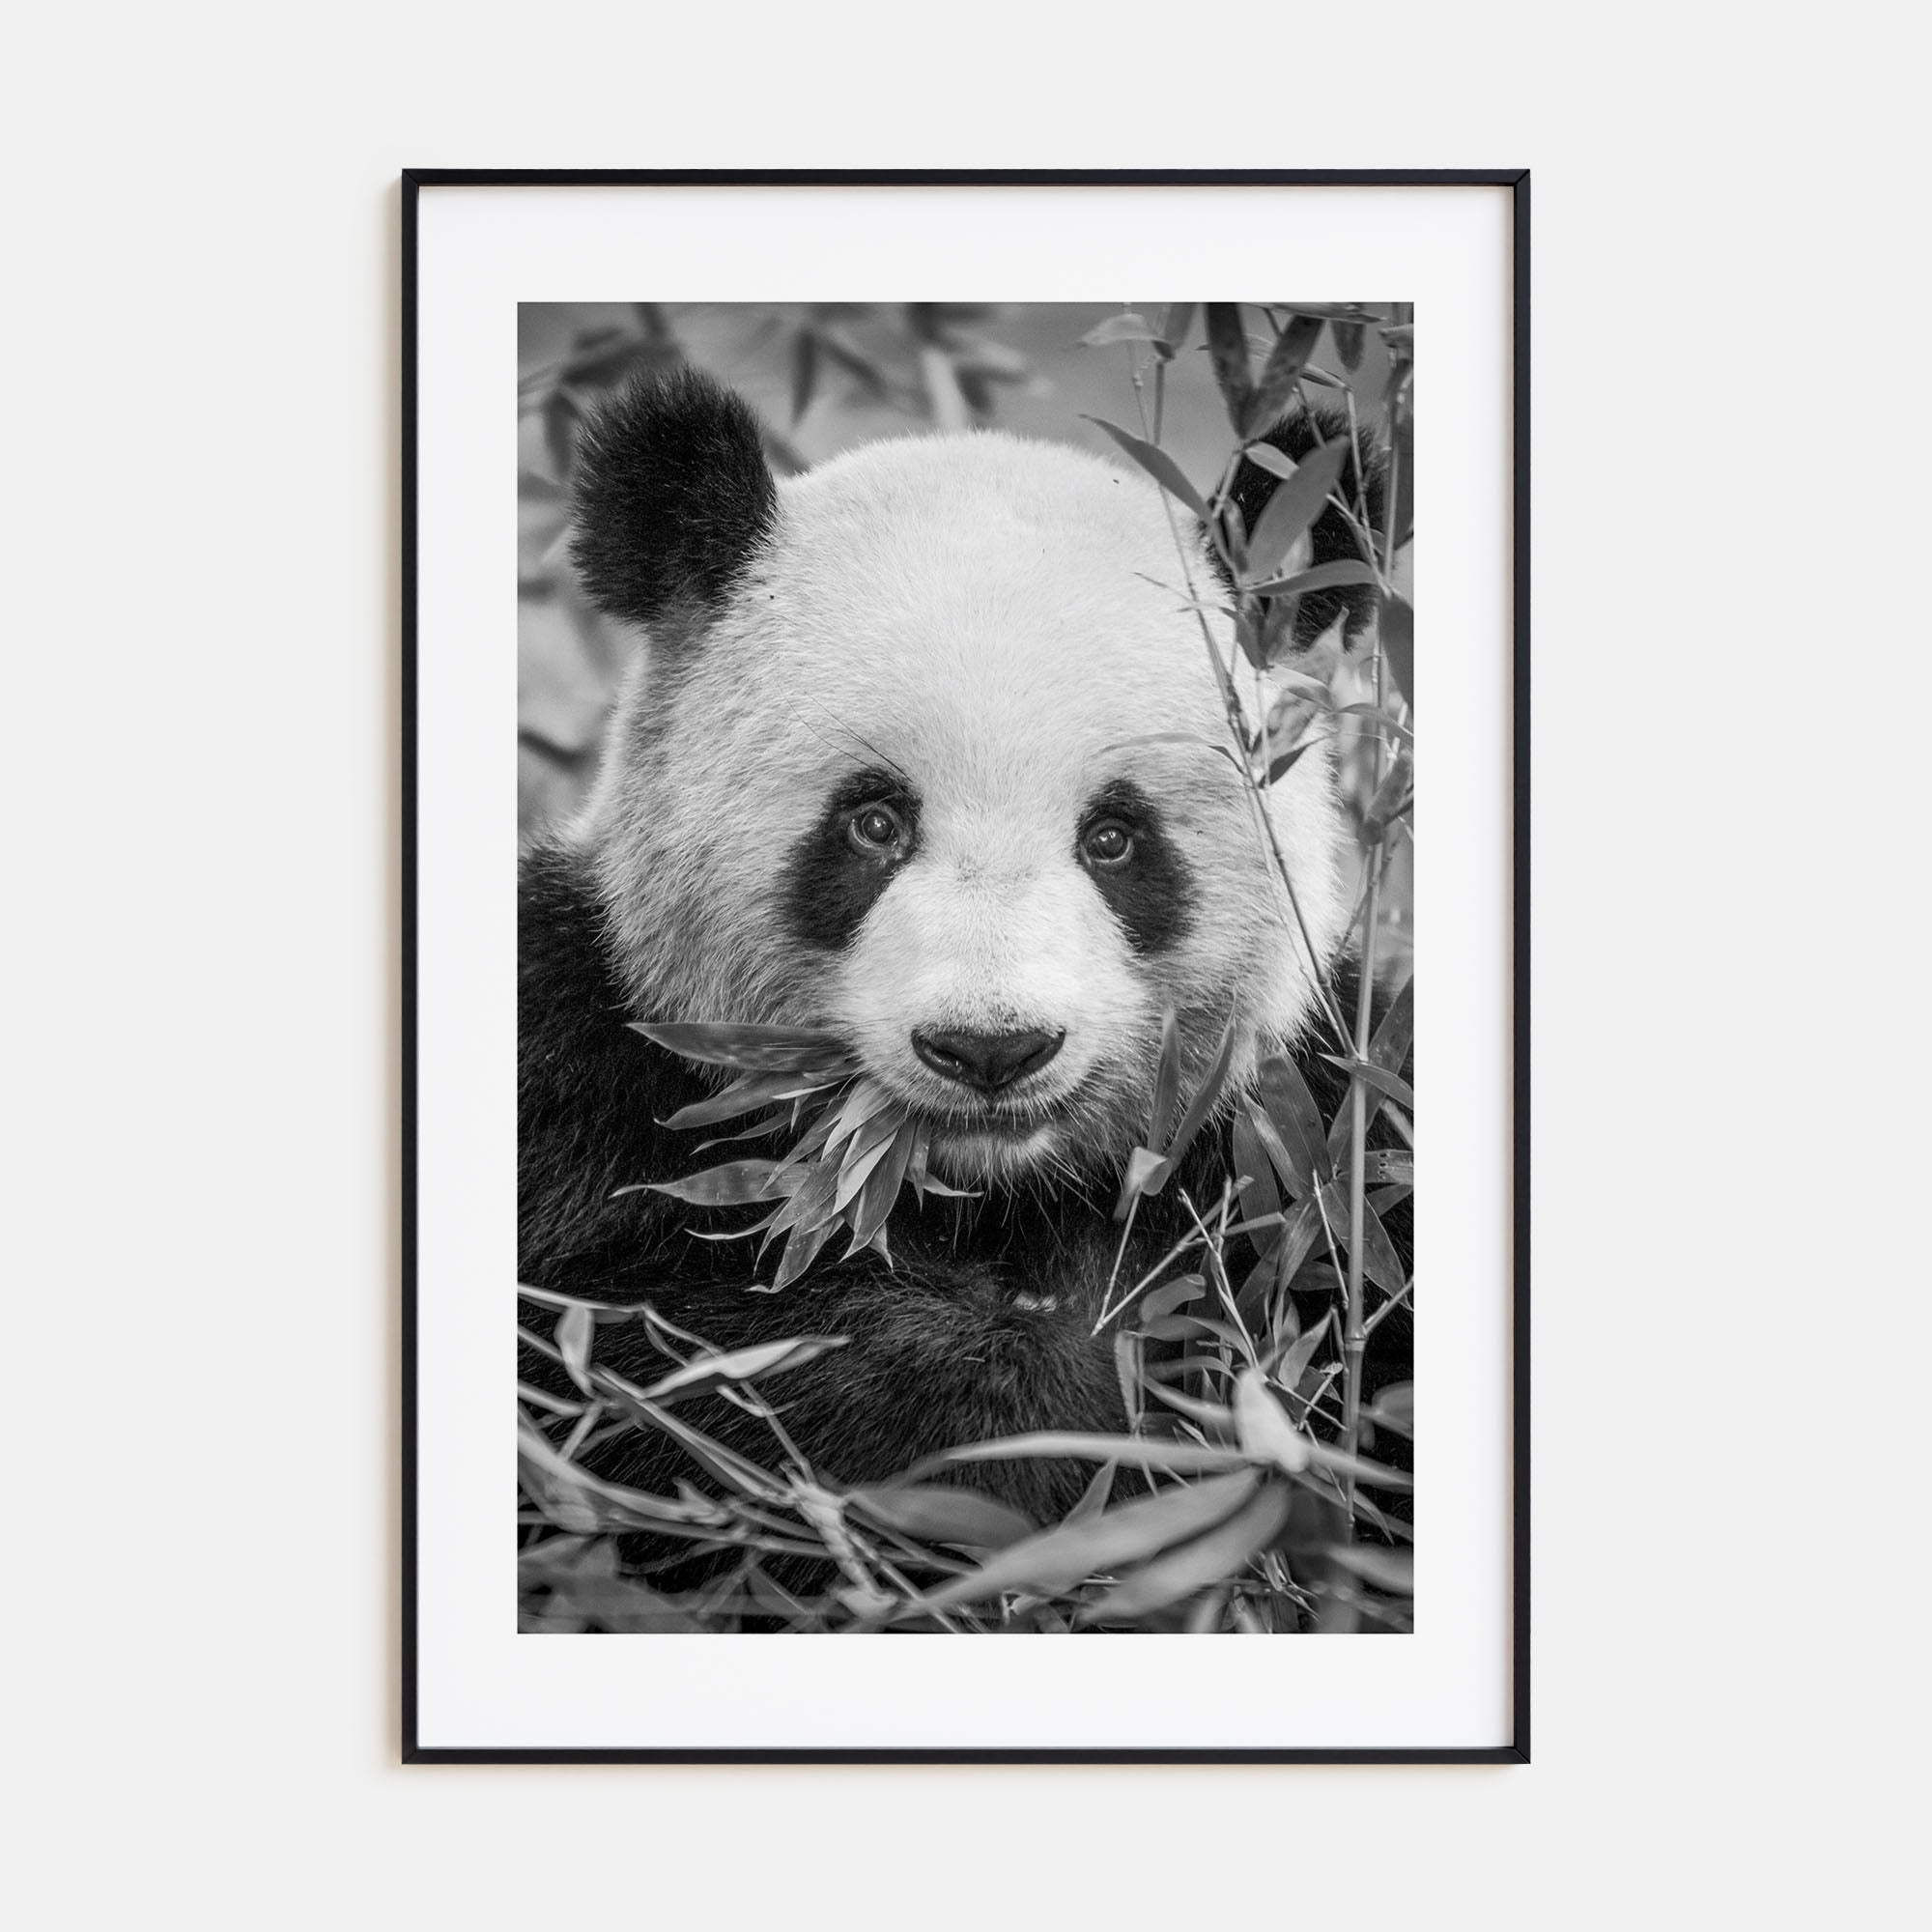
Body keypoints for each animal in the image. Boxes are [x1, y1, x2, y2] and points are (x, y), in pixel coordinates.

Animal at [520, 366, 1406, 1536]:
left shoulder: (1316, 1131)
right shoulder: (578, 1073)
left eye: (1114, 837)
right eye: (873, 823)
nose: (990, 1049)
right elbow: (647, 1366)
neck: (985, 1196)